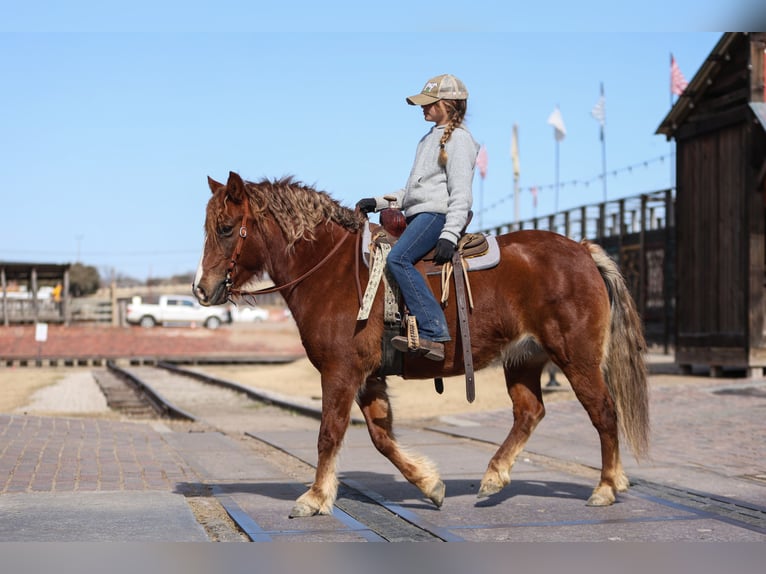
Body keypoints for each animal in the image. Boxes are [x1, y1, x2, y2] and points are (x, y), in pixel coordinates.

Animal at [192, 173, 648, 520]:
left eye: (226, 228)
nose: (201, 288)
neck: (330, 270)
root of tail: (582, 250)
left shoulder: (341, 372)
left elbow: (329, 433)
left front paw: (315, 497)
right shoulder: (368, 377)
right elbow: (381, 437)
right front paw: (429, 484)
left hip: (577, 358)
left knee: (604, 413)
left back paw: (606, 486)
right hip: (524, 358)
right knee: (529, 412)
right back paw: (494, 476)